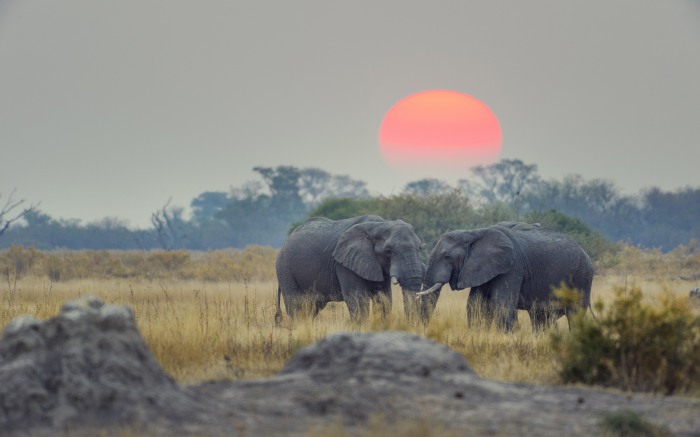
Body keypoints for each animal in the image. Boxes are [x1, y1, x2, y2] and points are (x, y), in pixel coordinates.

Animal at [274, 215, 432, 324]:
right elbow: (358, 301)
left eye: (419, 247)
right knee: (296, 306)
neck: (380, 225)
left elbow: (384, 300)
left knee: (312, 307)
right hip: (284, 267)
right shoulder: (344, 264)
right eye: (388, 251)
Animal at [418, 220, 592, 328]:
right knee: (541, 317)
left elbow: (502, 304)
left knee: (575, 314)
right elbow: (476, 304)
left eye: (447, 257)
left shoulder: (512, 268)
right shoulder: (482, 268)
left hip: (581, 277)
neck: (474, 233)